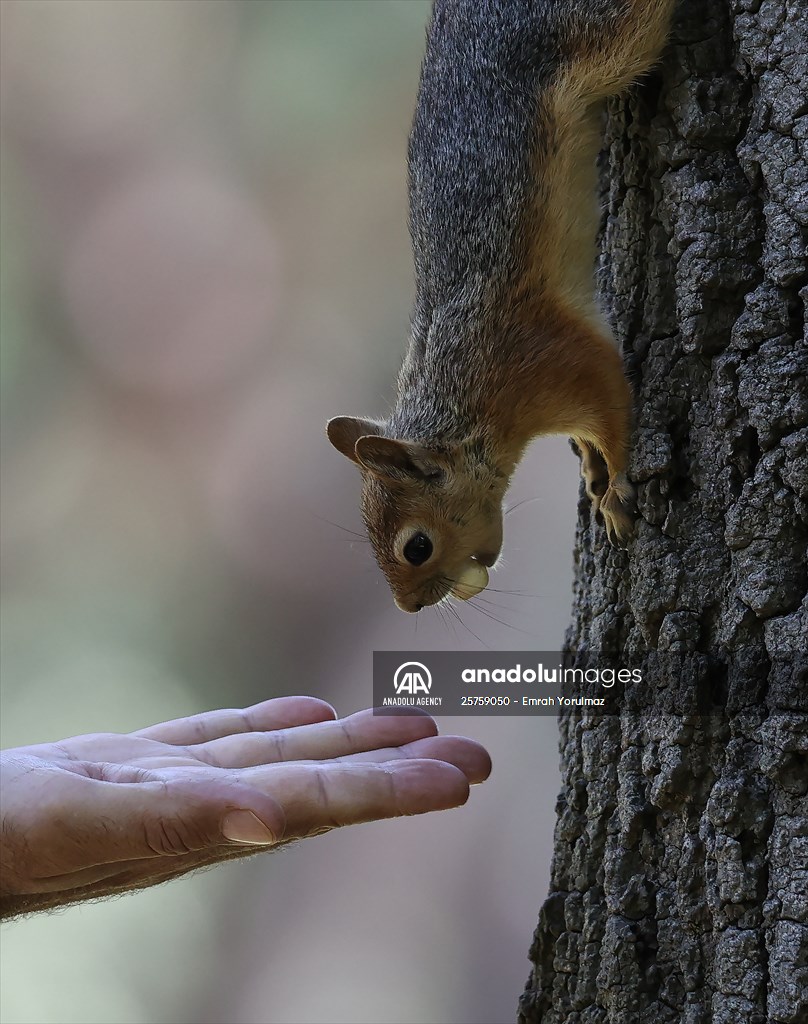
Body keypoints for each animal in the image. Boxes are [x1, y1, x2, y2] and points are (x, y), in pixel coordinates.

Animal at [327, 0, 674, 613]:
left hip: (610, 39)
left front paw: (614, 490)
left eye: (417, 547)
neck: (463, 403)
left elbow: (613, 410)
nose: (409, 608)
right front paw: (591, 470)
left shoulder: (551, 362)